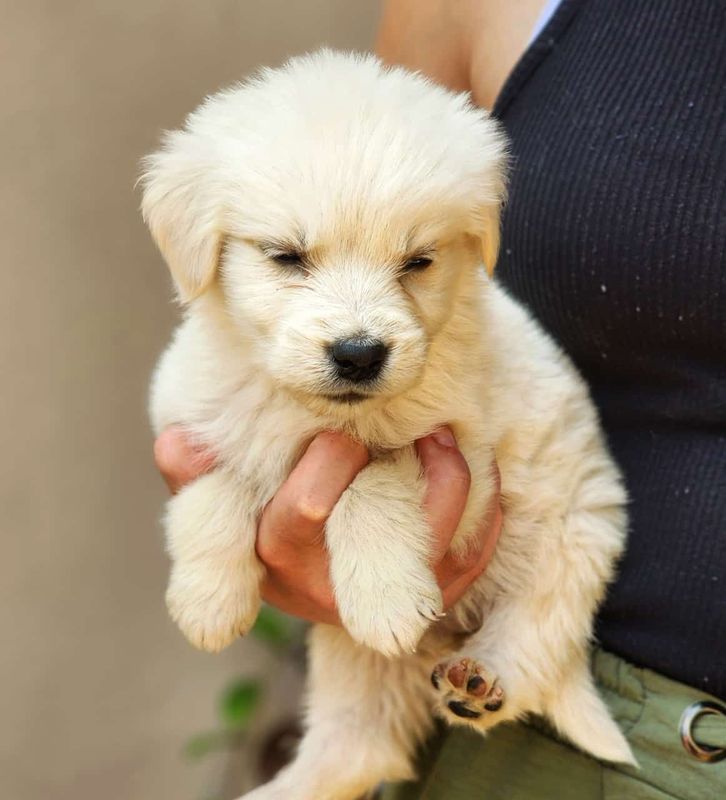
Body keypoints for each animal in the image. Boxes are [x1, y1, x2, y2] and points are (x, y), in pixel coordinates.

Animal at [142, 50, 636, 800]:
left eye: (417, 261)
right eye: (286, 256)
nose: (358, 353)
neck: (309, 410)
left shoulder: (468, 458)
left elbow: (374, 475)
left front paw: (386, 598)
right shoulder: (188, 412)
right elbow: (216, 484)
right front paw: (207, 601)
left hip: (574, 537)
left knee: (538, 639)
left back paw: (479, 679)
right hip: (344, 654)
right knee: (359, 747)